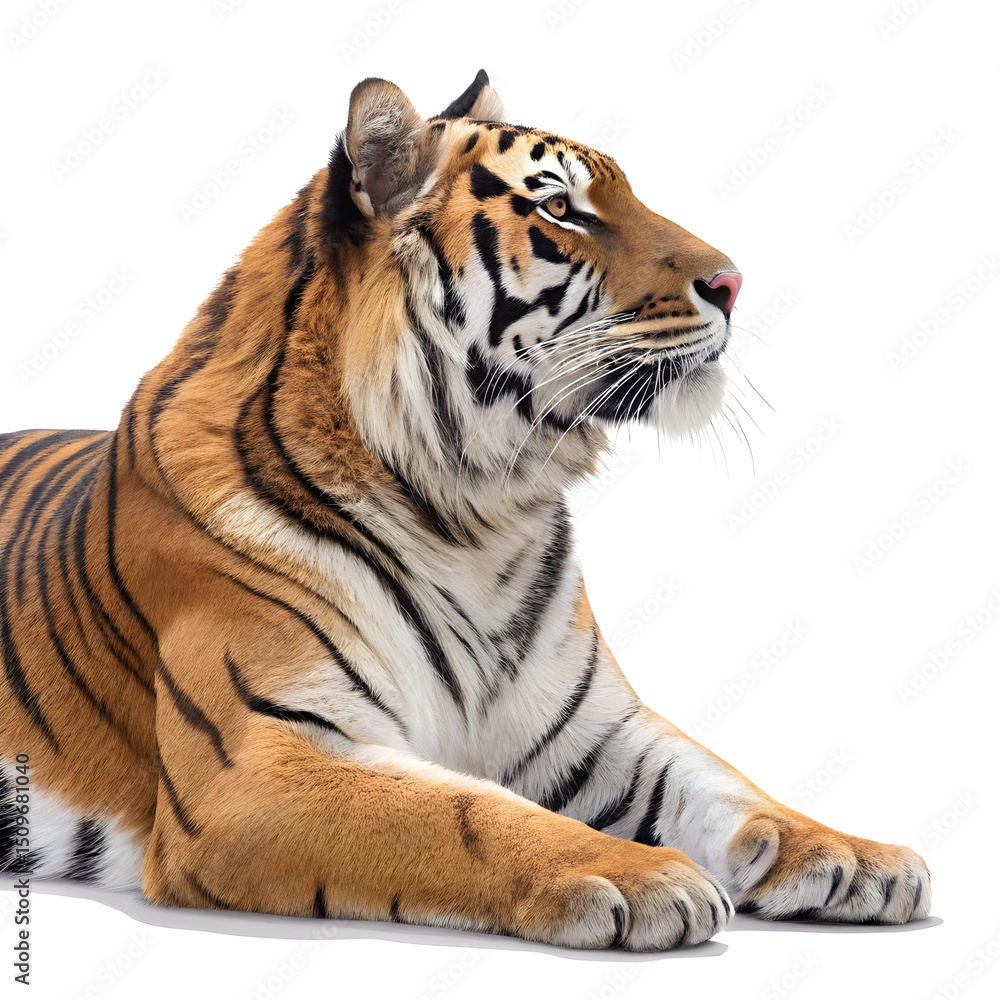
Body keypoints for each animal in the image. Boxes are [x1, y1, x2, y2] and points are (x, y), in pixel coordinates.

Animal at [0, 70, 930, 951]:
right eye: (560, 208)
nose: (733, 284)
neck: (475, 516)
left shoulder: (596, 733)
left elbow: (724, 782)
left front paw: (853, 856)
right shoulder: (256, 761)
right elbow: (467, 813)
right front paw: (641, 877)